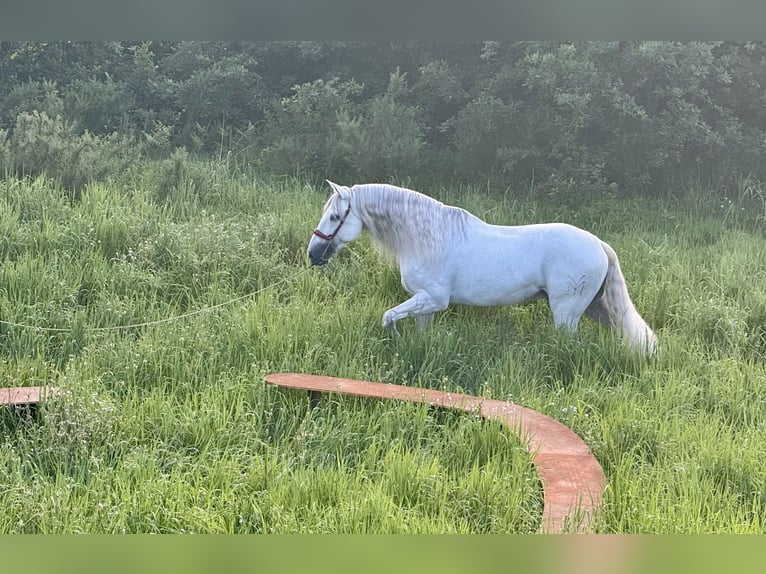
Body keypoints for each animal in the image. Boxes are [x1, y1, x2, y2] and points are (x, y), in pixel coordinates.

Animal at [308, 182, 656, 354]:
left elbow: (388, 317)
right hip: (595, 307)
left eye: (335, 216)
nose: (313, 255)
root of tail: (599, 244)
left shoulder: (433, 298)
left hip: (567, 312)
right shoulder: (425, 303)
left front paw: (393, 340)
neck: (427, 238)